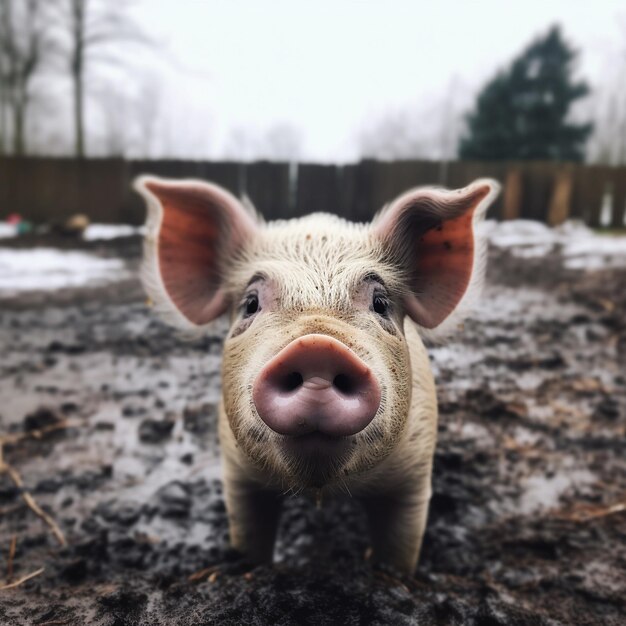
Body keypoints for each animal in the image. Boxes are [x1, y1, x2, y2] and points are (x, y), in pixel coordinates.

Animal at [135, 174, 498, 572]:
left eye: (380, 303)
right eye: (250, 303)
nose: (317, 348)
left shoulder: (413, 476)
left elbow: (399, 549)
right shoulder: (238, 474)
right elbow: (250, 538)